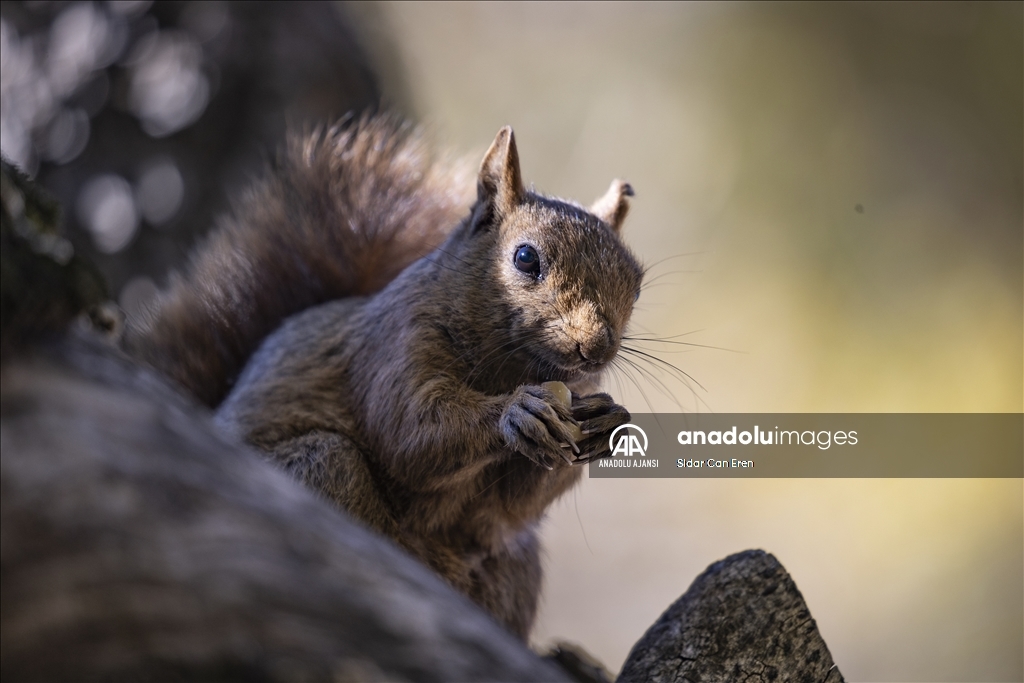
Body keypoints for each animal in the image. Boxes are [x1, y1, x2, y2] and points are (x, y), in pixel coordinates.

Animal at [125, 114, 638, 638]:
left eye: (635, 284)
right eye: (525, 258)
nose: (596, 347)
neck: (511, 368)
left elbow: (509, 507)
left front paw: (608, 423)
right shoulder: (394, 346)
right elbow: (410, 433)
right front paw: (517, 411)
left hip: (515, 566)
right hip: (318, 470)